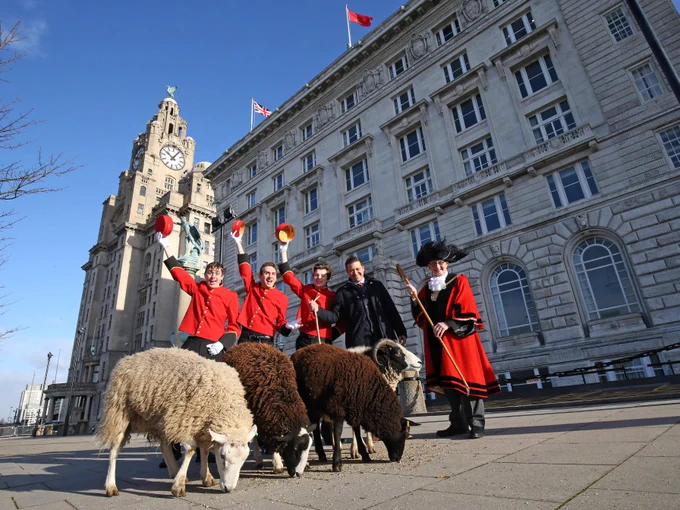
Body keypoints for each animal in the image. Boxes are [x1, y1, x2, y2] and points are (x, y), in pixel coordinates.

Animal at [96, 348, 256, 498]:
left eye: (245, 458)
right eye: (222, 456)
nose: (229, 488)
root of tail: (128, 358)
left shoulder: (201, 426)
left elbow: (204, 450)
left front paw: (205, 477)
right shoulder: (184, 420)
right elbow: (191, 449)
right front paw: (178, 486)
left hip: (160, 418)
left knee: (164, 446)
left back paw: (173, 471)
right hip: (119, 412)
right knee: (114, 449)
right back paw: (111, 486)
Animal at [221, 342, 313, 478]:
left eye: (308, 448)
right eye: (295, 449)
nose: (298, 474)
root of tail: (244, 344)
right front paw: (278, 464)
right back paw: (259, 460)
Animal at [292, 343, 408, 472]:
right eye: (403, 434)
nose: (397, 458)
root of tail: (300, 350)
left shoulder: (355, 408)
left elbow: (356, 430)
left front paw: (365, 454)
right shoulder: (337, 408)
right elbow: (338, 432)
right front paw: (337, 463)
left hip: (315, 406)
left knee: (316, 426)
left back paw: (321, 455)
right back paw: (321, 455)